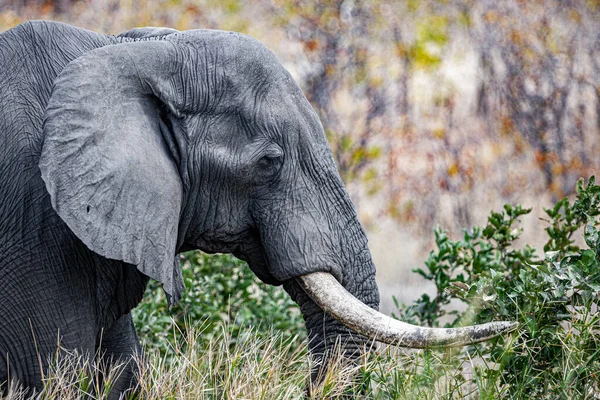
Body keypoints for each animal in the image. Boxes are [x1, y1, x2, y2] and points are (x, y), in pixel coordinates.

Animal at [0, 20, 516, 396]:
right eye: (269, 162)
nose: (509, 324)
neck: (125, 51)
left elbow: (123, 372)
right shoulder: (37, 228)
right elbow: (55, 373)